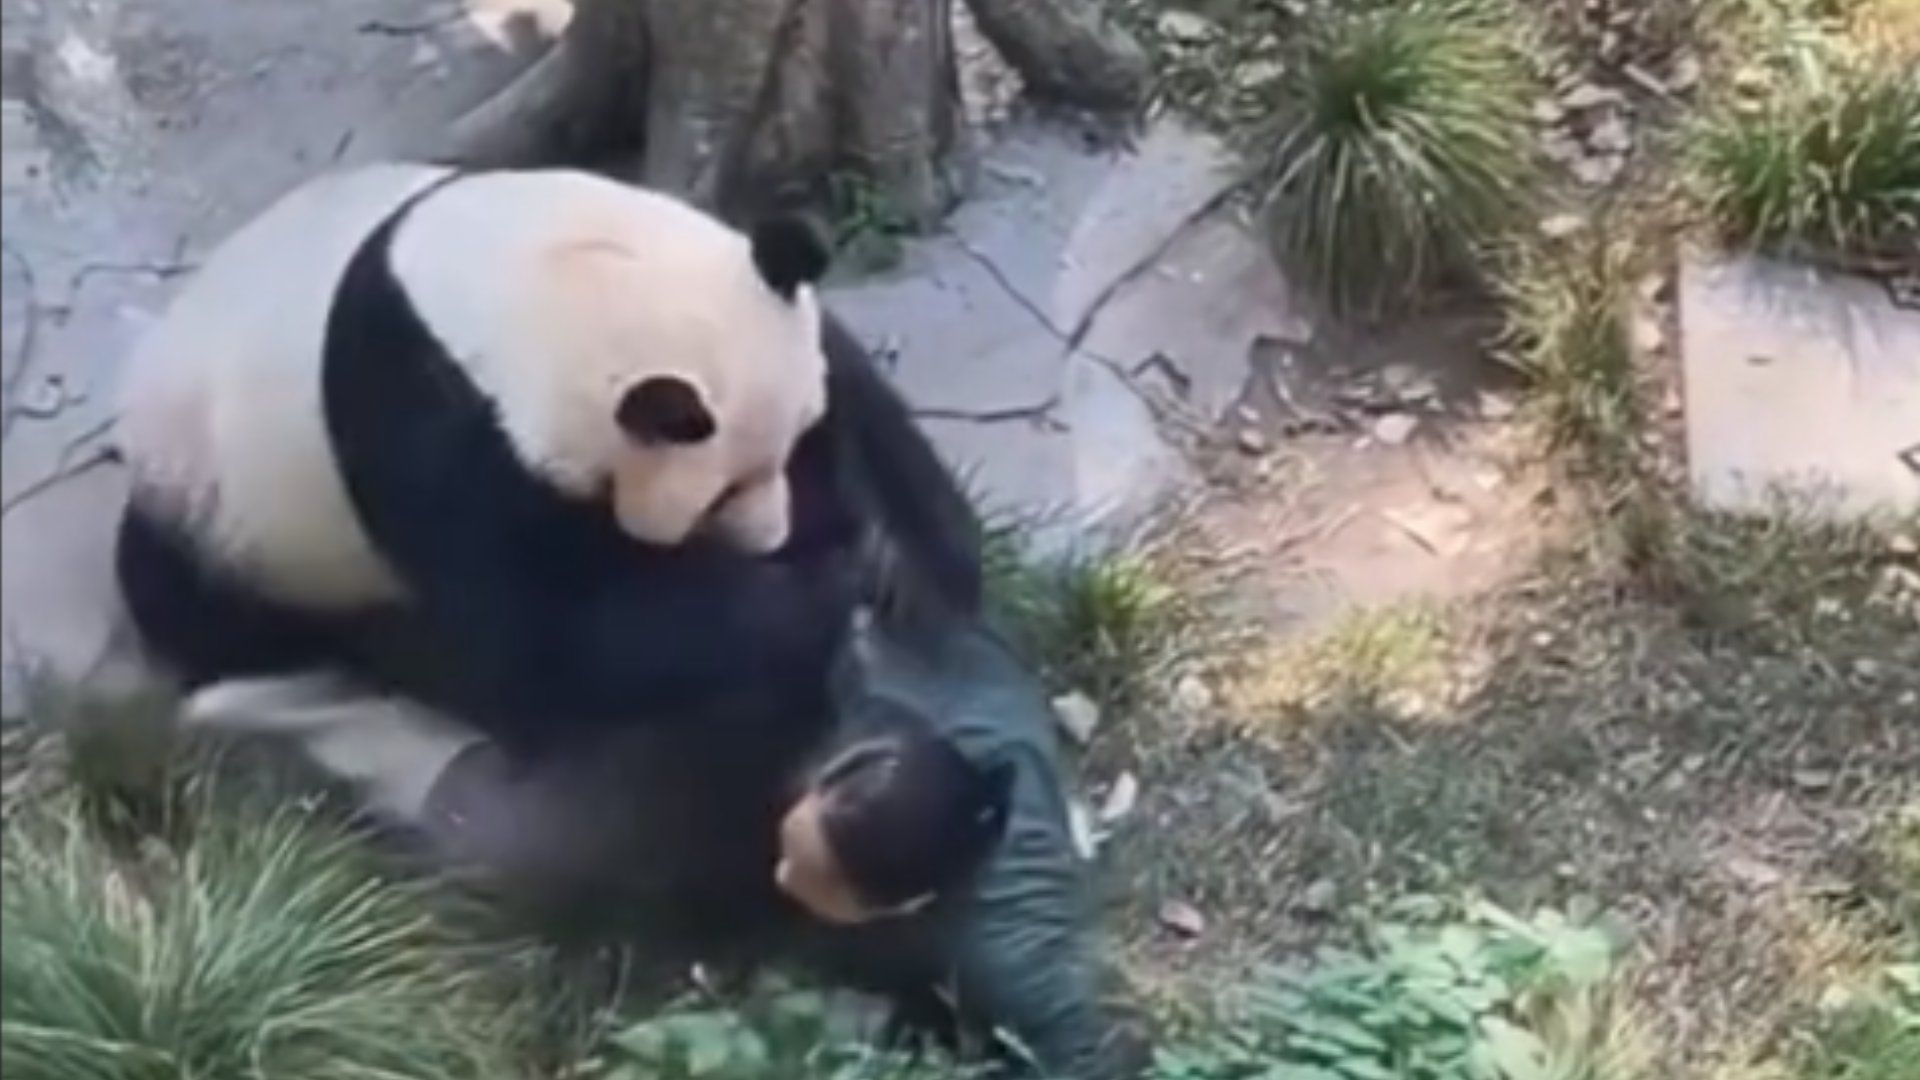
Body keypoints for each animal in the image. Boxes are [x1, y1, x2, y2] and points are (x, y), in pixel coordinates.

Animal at [114, 163, 981, 757]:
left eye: (803, 439)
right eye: (722, 496)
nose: (777, 537)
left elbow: (872, 414)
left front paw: (895, 564)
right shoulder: (420, 419)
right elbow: (544, 642)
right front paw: (812, 594)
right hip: (215, 503)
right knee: (187, 602)